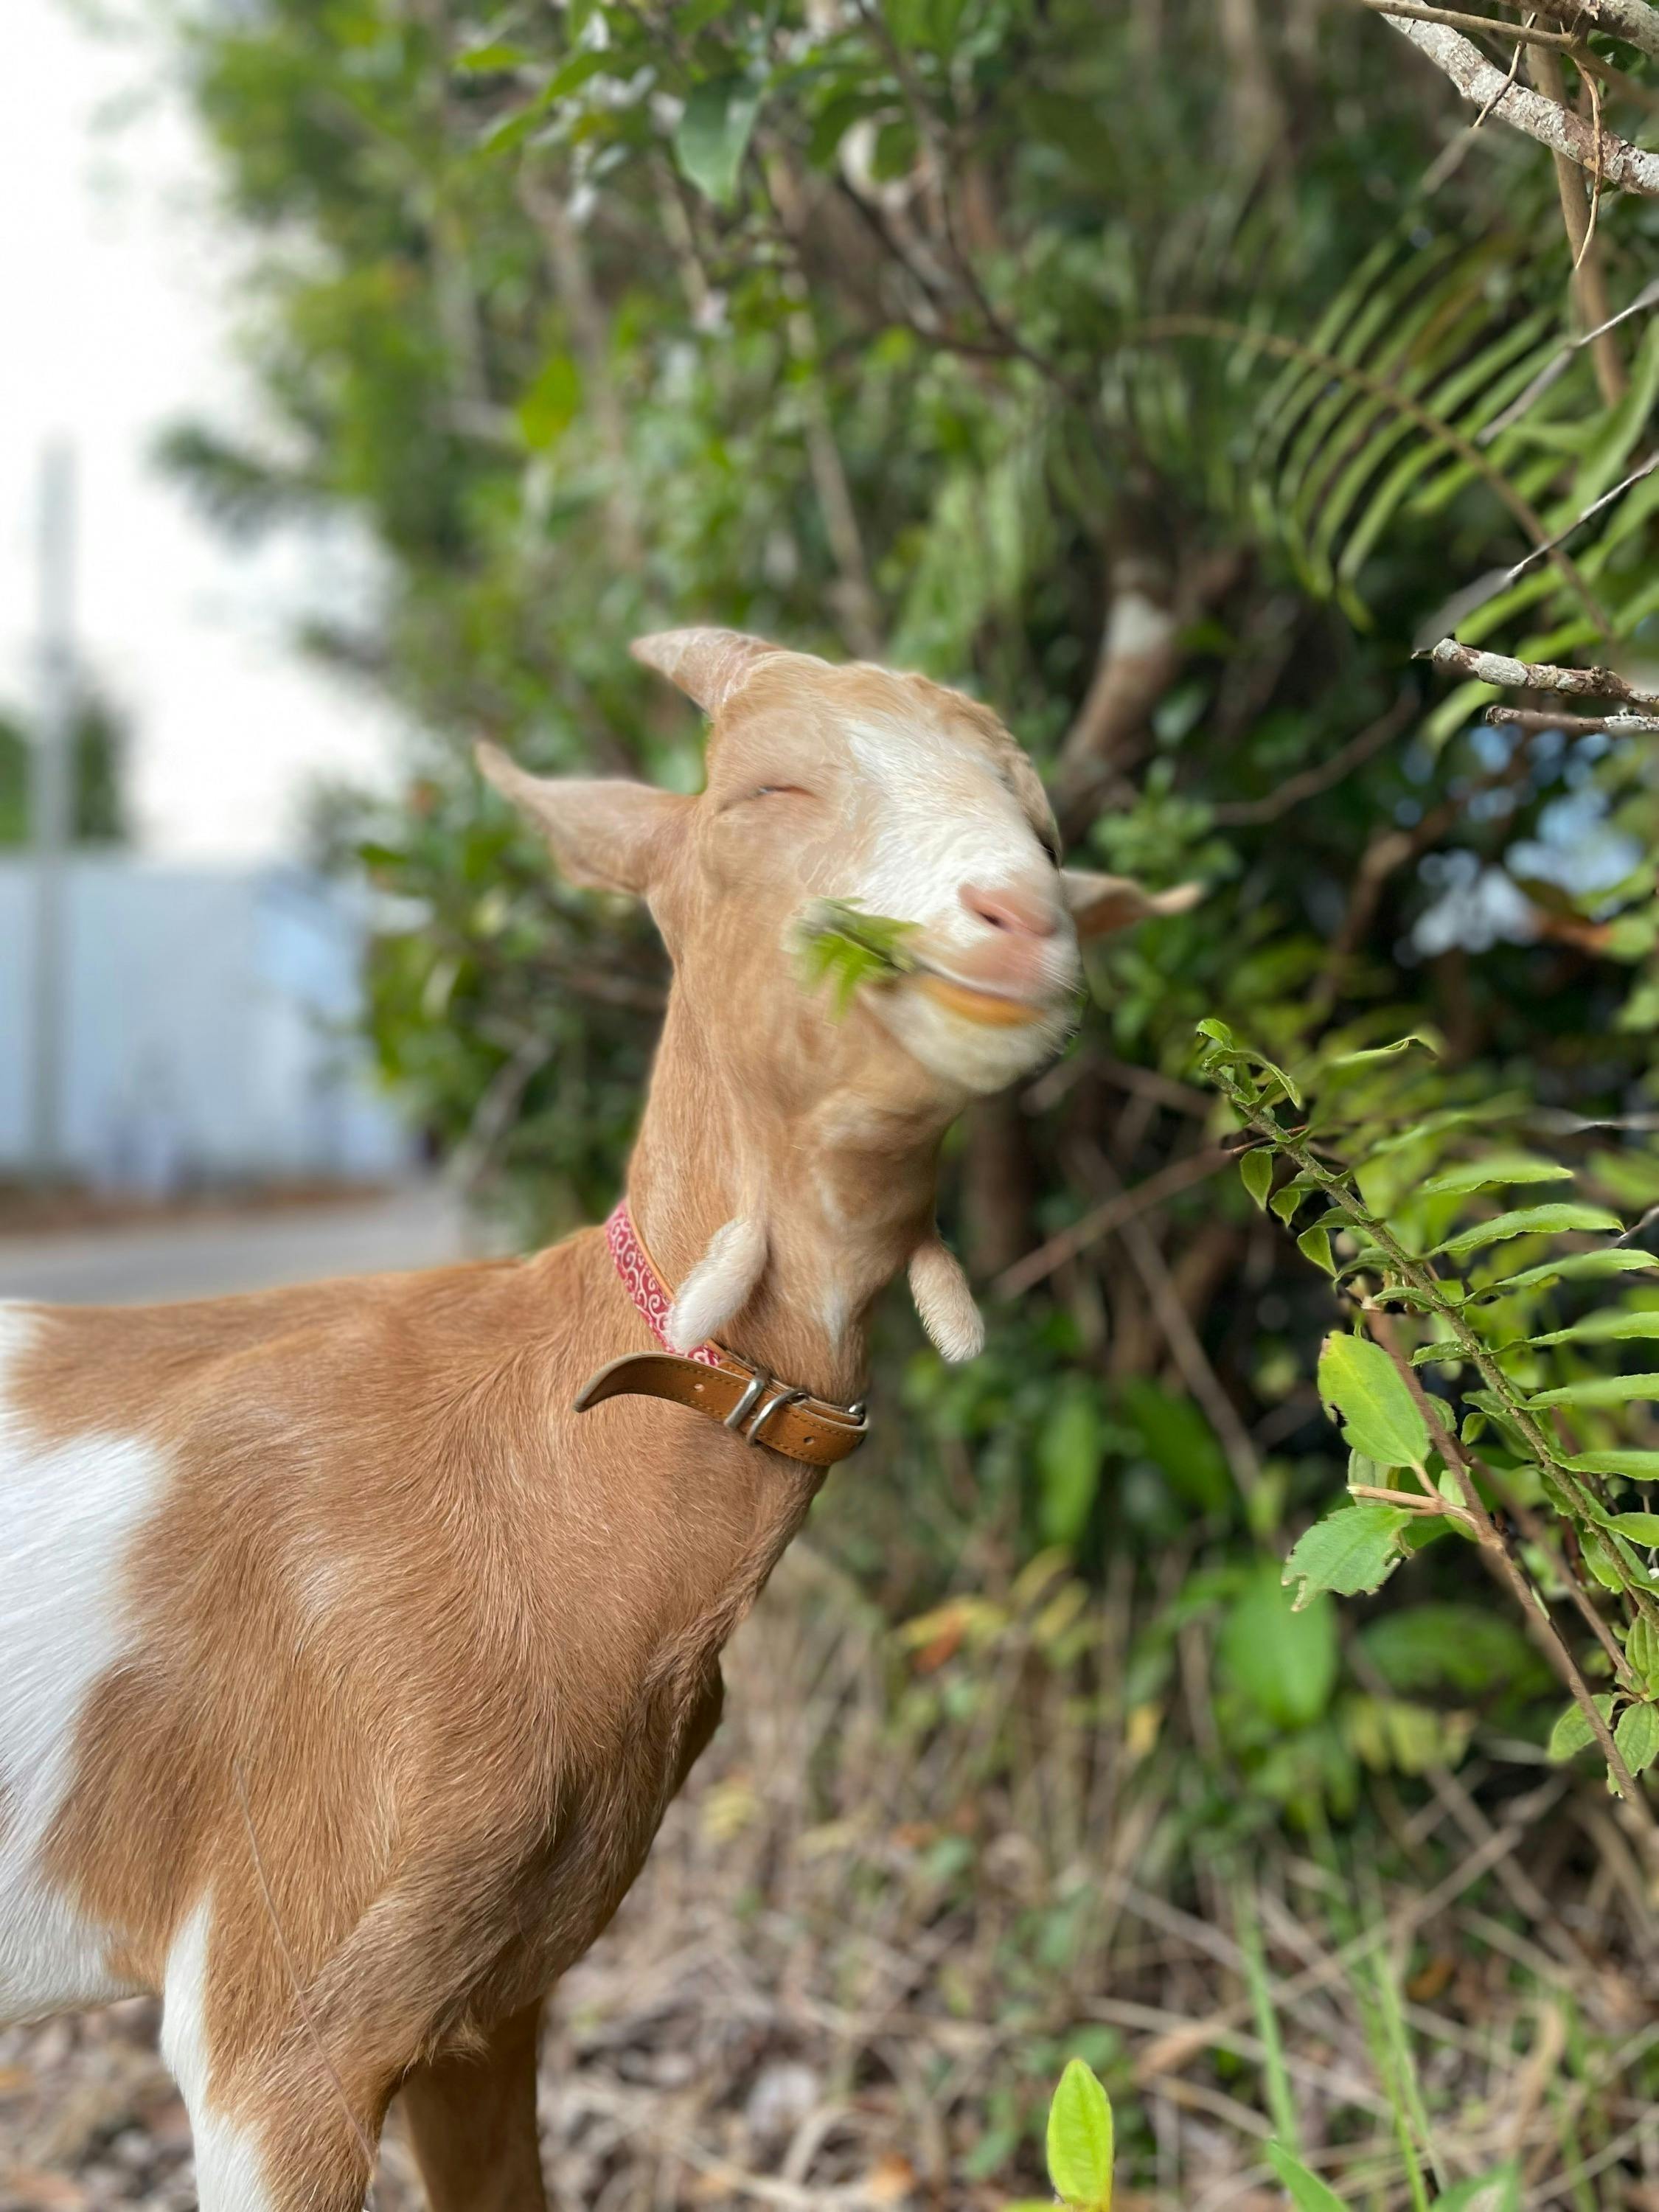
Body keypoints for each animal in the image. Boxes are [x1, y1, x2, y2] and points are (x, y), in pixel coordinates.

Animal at [0, 633, 1194, 2203]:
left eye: (1051, 832)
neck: (544, 1459)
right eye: (761, 791)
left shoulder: (485, 1994)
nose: (1019, 923)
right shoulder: (275, 2023)